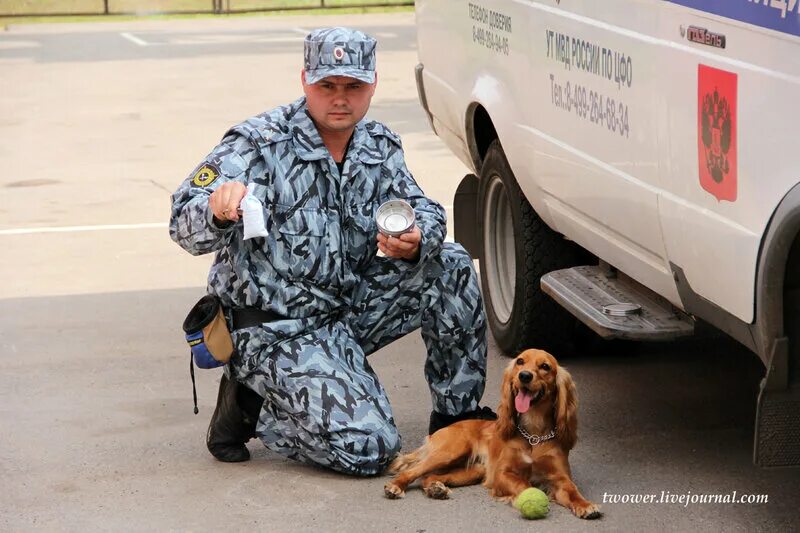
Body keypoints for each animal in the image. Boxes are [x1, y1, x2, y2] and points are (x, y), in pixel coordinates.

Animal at [386, 348, 600, 516]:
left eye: (545, 367)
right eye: (520, 361)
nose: (524, 376)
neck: (533, 434)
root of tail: (443, 429)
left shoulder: (560, 477)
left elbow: (572, 490)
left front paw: (586, 505)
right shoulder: (502, 474)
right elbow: (524, 484)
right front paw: (527, 497)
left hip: (471, 470)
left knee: (428, 477)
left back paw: (436, 489)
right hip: (449, 452)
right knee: (413, 471)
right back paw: (396, 486)